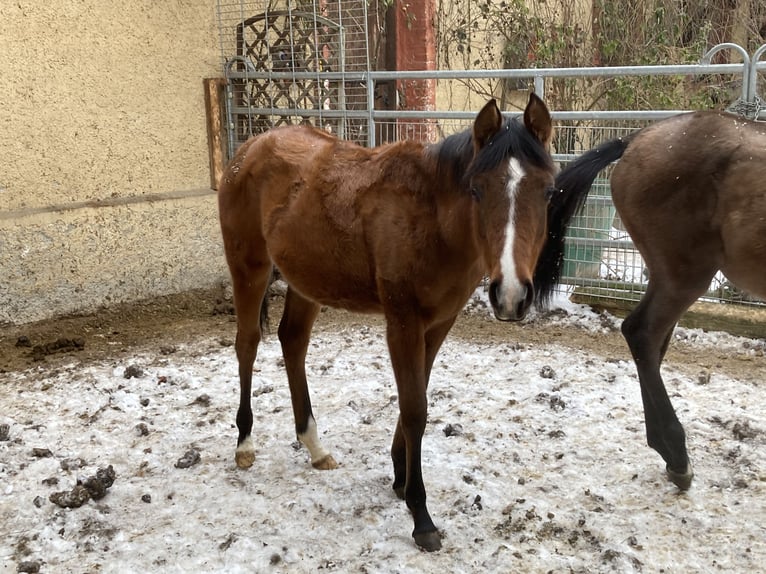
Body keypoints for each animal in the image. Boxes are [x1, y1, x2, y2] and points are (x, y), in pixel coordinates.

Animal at [218, 93, 556, 551]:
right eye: (476, 189)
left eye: (548, 190)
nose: (511, 296)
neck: (434, 220)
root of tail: (249, 148)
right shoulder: (402, 322)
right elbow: (415, 409)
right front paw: (421, 514)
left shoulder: (439, 324)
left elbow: (418, 395)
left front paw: (399, 476)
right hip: (249, 269)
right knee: (248, 342)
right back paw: (245, 444)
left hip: (305, 281)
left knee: (293, 341)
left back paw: (314, 446)